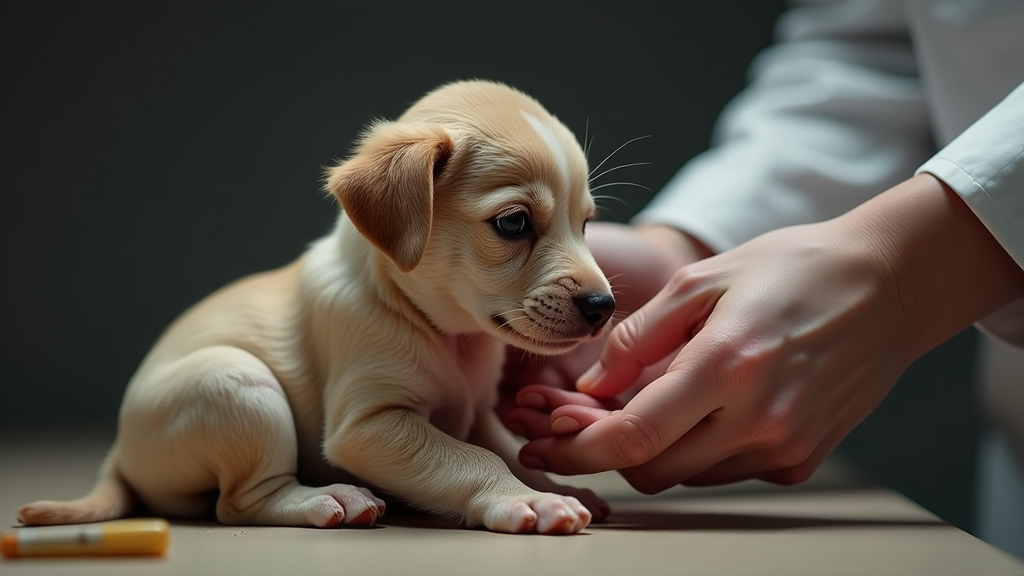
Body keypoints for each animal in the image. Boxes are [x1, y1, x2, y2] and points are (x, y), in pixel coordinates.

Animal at [16, 80, 614, 532]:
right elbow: (471, 460)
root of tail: (118, 452)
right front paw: (527, 500)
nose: (604, 306)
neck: (439, 330)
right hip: (239, 385)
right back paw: (328, 500)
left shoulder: (478, 412)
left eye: (586, 223)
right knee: (240, 503)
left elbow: (506, 450)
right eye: (513, 222)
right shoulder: (369, 424)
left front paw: (545, 484)